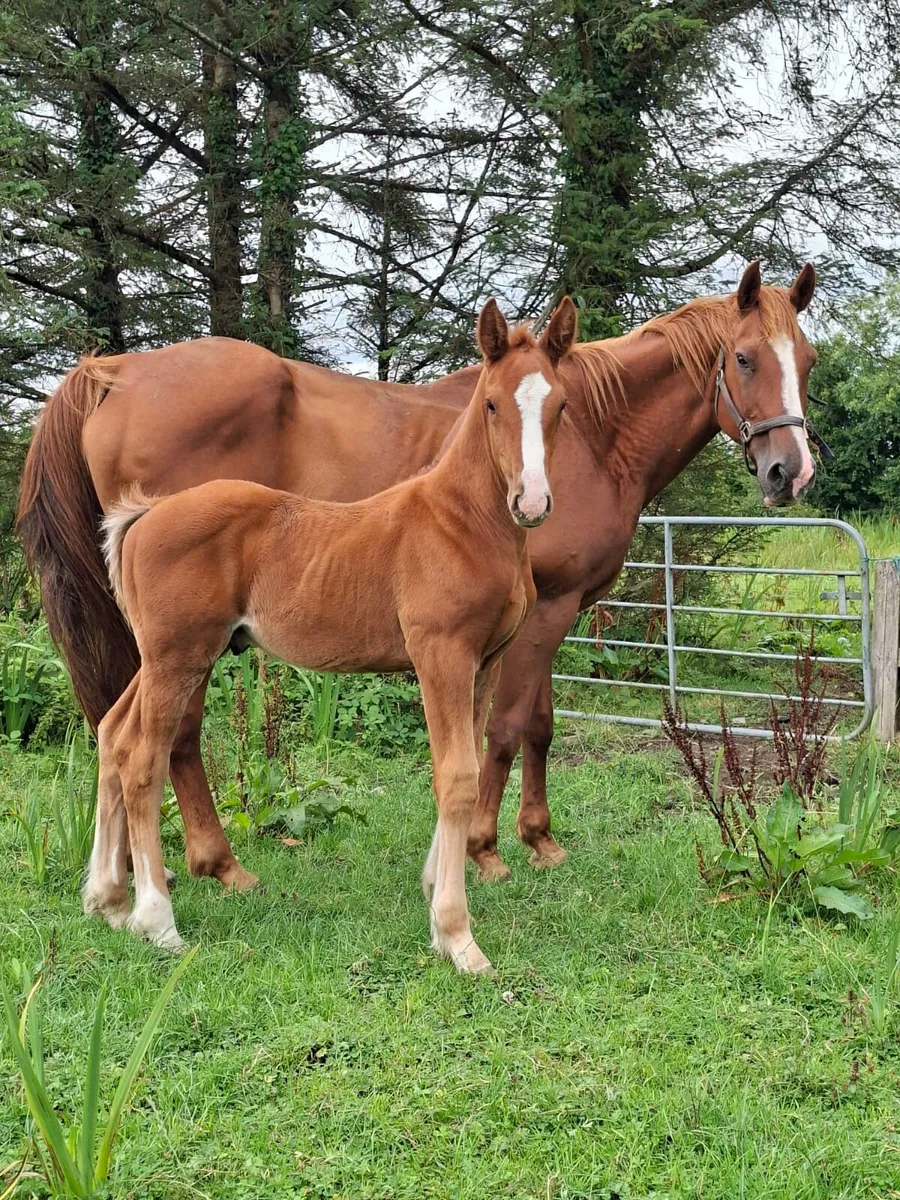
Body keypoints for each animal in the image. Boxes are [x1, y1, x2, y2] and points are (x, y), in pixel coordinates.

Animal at [18, 260, 819, 887]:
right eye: (745, 359)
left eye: (807, 361)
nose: (791, 472)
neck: (590, 436)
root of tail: (115, 371)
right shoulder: (547, 611)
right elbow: (509, 727)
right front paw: (491, 849)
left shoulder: (540, 615)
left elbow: (539, 725)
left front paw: (536, 839)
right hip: (187, 638)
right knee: (174, 733)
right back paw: (212, 864)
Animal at [81, 298, 577, 970]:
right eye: (494, 404)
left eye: (560, 406)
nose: (532, 502)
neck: (461, 522)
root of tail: (149, 512)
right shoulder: (441, 654)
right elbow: (456, 779)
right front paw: (457, 937)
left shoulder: (486, 661)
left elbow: (467, 767)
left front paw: (433, 892)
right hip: (178, 656)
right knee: (140, 758)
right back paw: (157, 919)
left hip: (160, 657)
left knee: (112, 733)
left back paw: (106, 900)